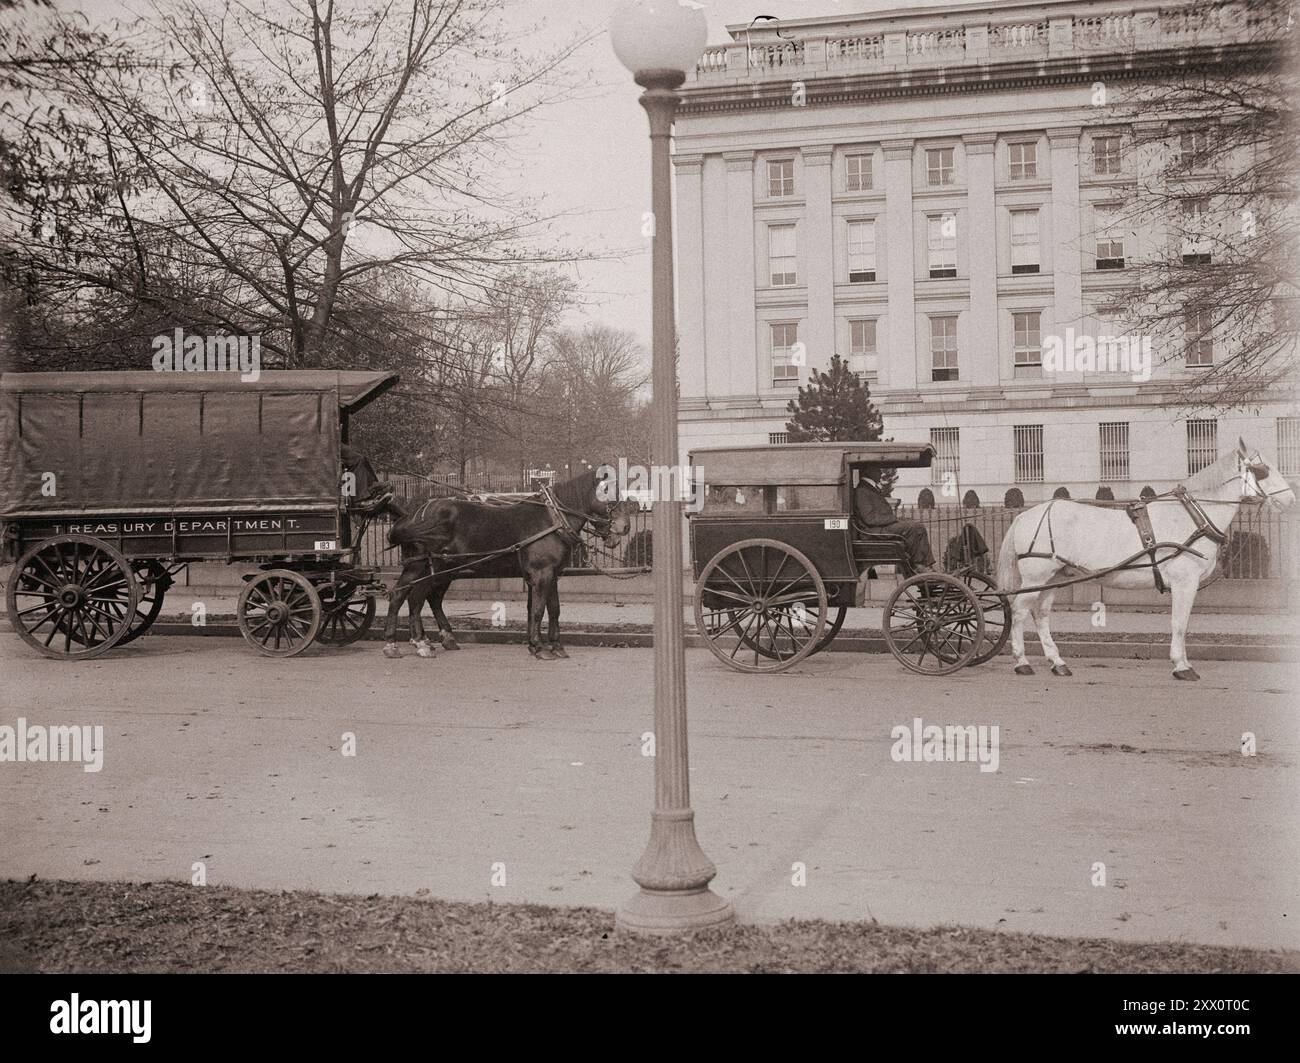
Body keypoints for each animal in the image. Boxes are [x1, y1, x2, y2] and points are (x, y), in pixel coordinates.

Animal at [379, 467, 637, 657]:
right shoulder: (541, 574)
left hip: (442, 568)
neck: (552, 519)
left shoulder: (551, 575)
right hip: (423, 566)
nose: (625, 527)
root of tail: (413, 514)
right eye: (607, 492)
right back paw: (412, 643)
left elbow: (552, 609)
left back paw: (428, 640)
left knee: (419, 597)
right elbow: (538, 610)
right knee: (411, 597)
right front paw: (539, 647)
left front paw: (553, 645)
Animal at [993, 439, 1289, 680]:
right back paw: (1022, 662)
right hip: (1036, 576)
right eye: (1263, 470)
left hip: (1052, 578)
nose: (1290, 498)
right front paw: (1182, 666)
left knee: (1040, 616)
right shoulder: (1185, 582)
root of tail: (1026, 514)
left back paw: (1058, 663)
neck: (1191, 516)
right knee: (1018, 613)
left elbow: (1182, 623)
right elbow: (1179, 623)